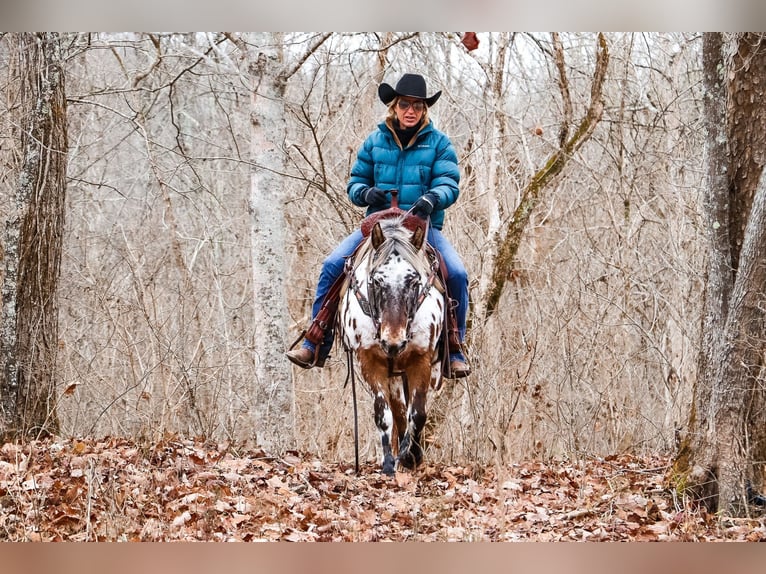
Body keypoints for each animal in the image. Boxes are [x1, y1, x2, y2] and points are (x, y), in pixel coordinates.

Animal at [340, 208, 448, 476]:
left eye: (414, 281)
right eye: (376, 280)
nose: (393, 342)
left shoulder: (421, 358)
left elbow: (418, 413)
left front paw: (411, 457)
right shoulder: (370, 359)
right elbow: (384, 414)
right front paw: (390, 462)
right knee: (398, 413)